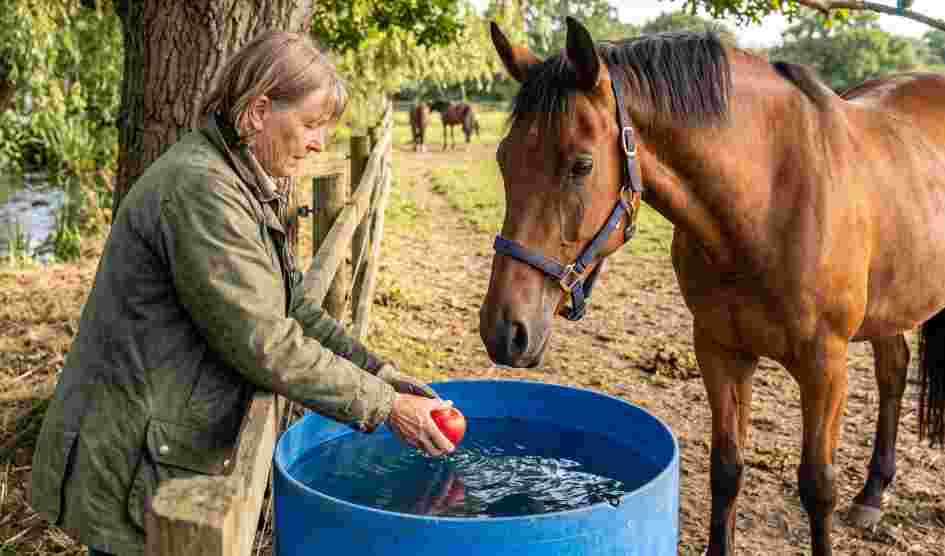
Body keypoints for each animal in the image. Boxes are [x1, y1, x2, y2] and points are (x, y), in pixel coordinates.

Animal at [480, 18, 945, 556]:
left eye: (581, 165)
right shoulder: (720, 349)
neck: (769, 197)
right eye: (503, 159)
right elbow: (726, 469)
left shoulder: (825, 366)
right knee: (894, 371)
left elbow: (817, 486)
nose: (503, 330)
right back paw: (872, 493)